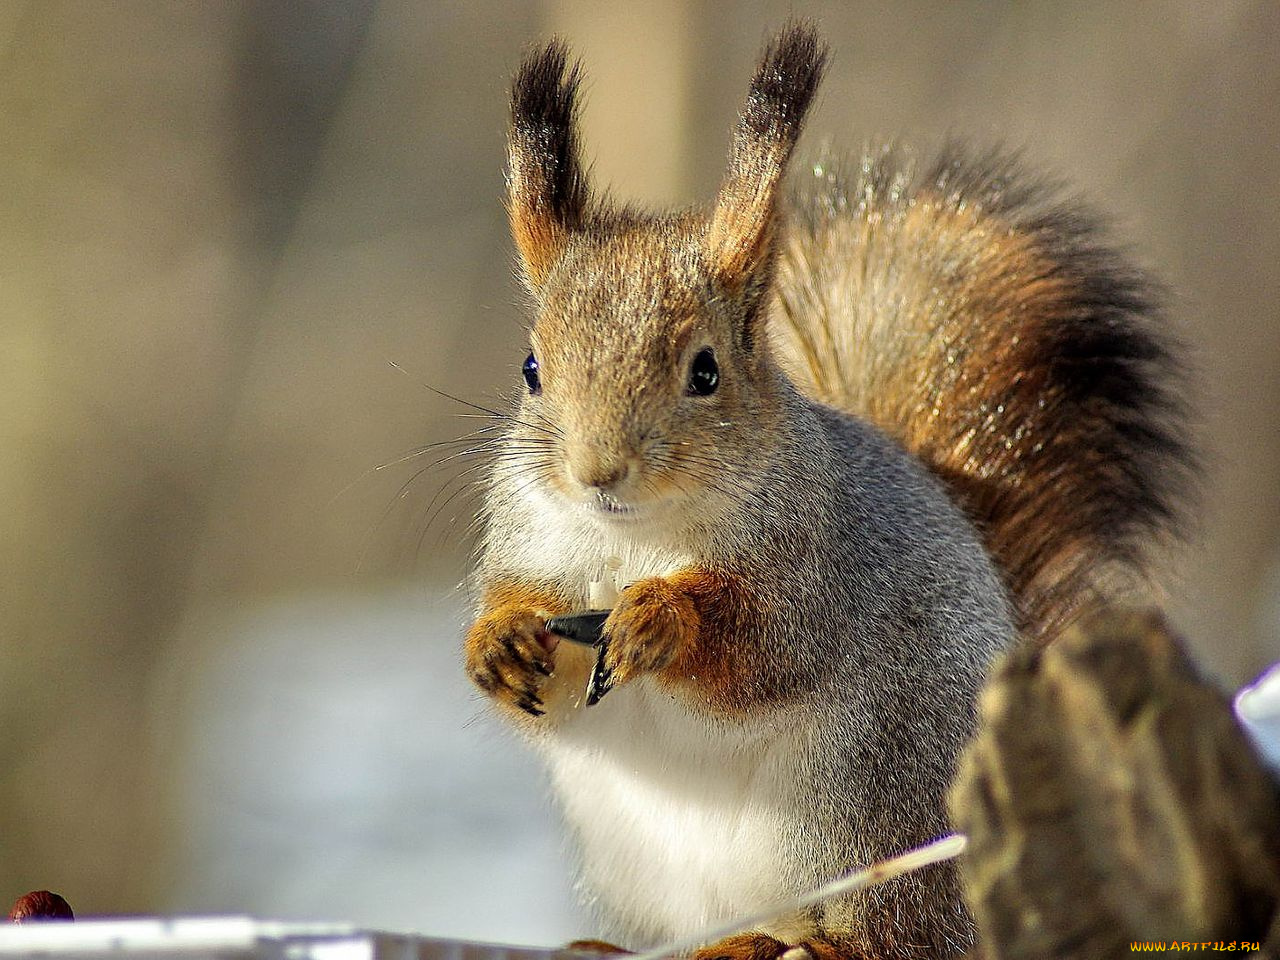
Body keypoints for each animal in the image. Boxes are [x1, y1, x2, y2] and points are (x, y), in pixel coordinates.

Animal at [458, 20, 1187, 960]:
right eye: (531, 369)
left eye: (705, 371)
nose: (597, 473)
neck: (633, 535)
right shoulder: (532, 538)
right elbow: (539, 689)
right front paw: (500, 644)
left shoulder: (816, 562)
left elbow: (763, 649)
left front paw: (663, 618)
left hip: (863, 806)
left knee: (894, 936)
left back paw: (805, 942)